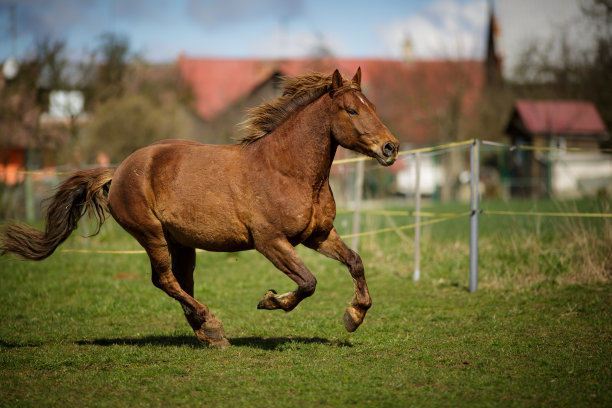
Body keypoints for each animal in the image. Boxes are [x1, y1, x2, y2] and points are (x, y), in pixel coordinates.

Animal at [0, 68, 400, 350]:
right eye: (351, 109)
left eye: (373, 107)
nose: (390, 148)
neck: (286, 170)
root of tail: (120, 170)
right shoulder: (270, 242)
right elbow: (307, 282)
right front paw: (270, 301)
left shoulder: (318, 235)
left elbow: (355, 262)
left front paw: (353, 316)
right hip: (151, 234)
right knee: (164, 280)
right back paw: (212, 324)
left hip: (182, 242)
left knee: (181, 281)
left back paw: (209, 335)